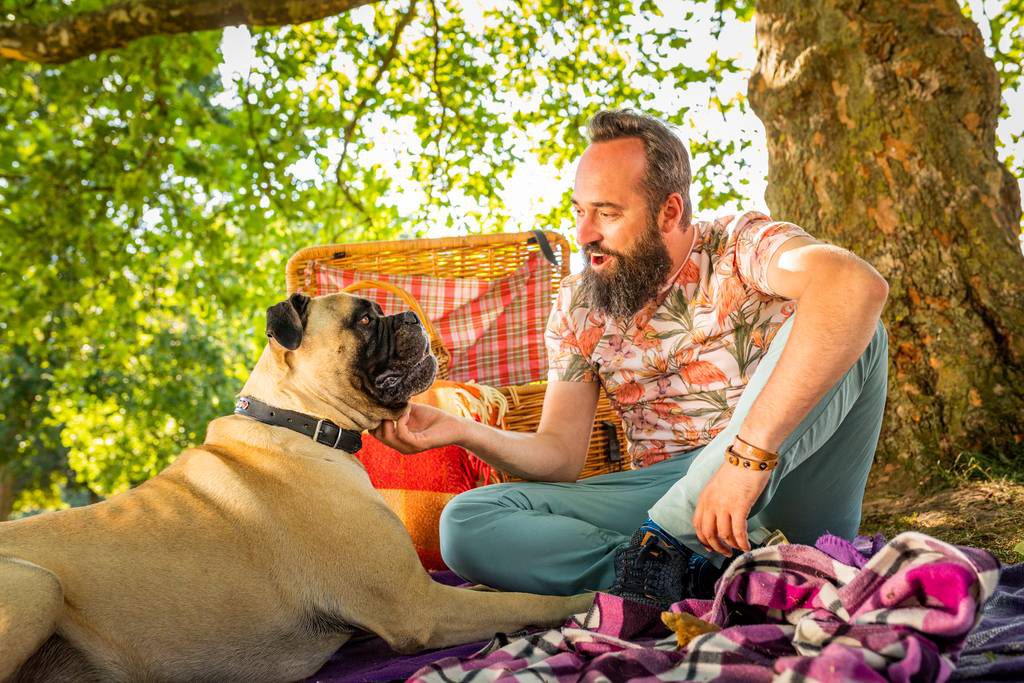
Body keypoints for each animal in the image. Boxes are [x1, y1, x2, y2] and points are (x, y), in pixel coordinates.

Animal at [0, 290, 593, 679]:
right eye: (365, 319)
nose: (409, 316)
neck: (302, 422)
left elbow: (496, 590)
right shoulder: (418, 606)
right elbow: (525, 602)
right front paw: (593, 599)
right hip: (36, 586)